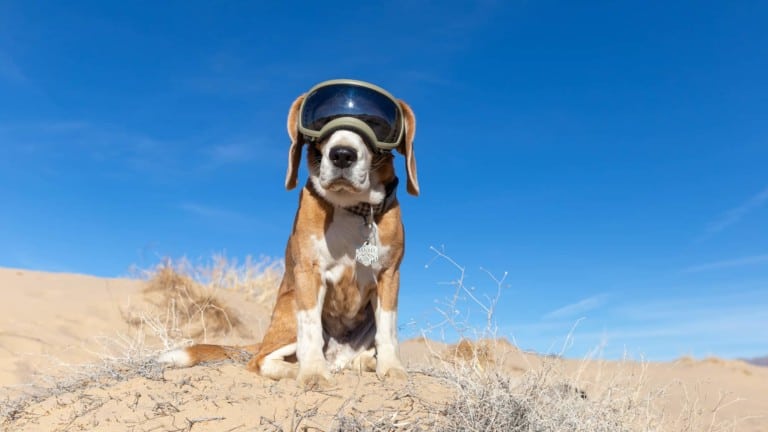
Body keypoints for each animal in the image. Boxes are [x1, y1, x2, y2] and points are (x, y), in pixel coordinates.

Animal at [158, 79, 416, 390]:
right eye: (322, 120)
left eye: (376, 123)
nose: (342, 154)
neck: (352, 208)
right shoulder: (308, 272)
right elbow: (311, 329)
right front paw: (313, 372)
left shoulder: (389, 275)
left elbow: (387, 330)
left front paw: (391, 368)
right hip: (287, 314)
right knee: (260, 361)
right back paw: (300, 369)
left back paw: (363, 362)